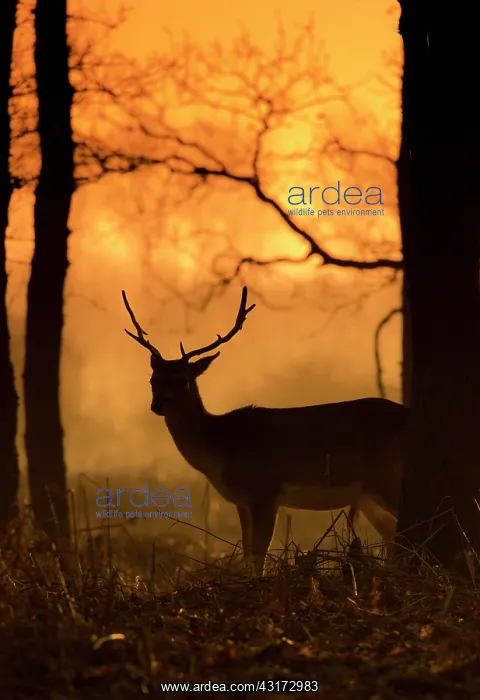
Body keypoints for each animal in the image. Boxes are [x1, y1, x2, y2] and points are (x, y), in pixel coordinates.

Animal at [122, 286, 408, 577]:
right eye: (153, 379)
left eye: (183, 380)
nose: (157, 405)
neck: (220, 445)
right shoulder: (242, 501)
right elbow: (248, 551)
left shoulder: (266, 491)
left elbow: (259, 553)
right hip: (369, 495)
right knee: (391, 535)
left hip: (389, 479)